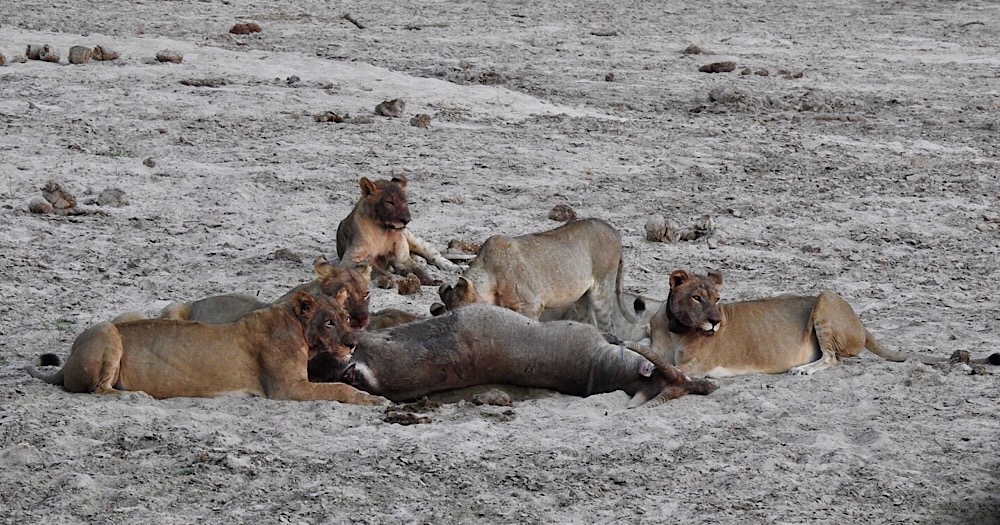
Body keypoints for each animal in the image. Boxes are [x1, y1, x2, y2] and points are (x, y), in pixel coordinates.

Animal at [25, 288, 386, 404]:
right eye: (329, 322)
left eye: (345, 317)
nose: (353, 343)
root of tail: (67, 363)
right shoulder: (286, 388)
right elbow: (338, 390)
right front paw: (373, 400)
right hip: (105, 331)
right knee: (98, 388)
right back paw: (137, 395)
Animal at [434, 217, 644, 340]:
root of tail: (615, 232)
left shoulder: (532, 304)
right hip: (581, 296)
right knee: (588, 322)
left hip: (602, 286)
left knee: (609, 325)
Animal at [644, 270, 996, 376]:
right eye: (697, 298)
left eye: (717, 299)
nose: (716, 323)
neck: (676, 328)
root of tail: (862, 324)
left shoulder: (698, 366)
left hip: (826, 299)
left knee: (833, 359)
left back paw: (803, 369)